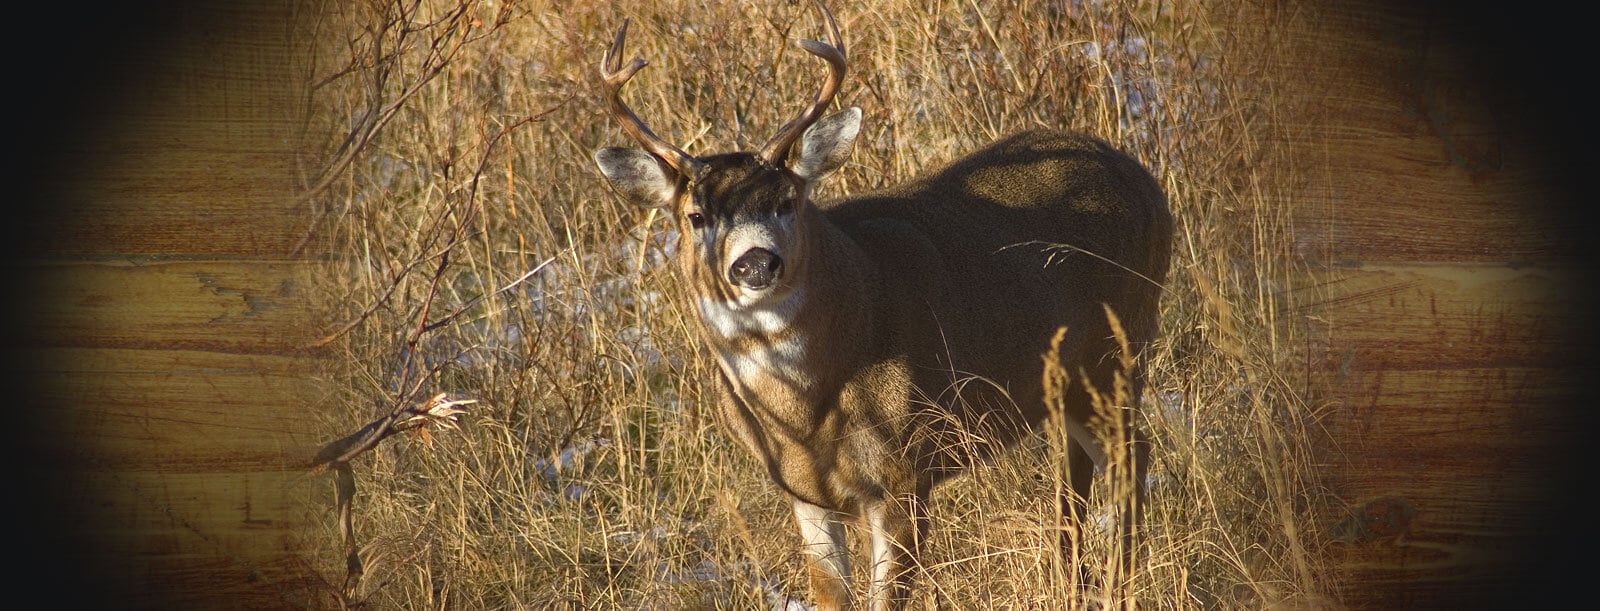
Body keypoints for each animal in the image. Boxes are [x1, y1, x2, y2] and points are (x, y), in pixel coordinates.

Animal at [595, 2, 1171, 607]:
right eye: (696, 216)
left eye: (786, 201)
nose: (754, 264)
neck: (807, 415)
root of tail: (1144, 179)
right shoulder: (804, 493)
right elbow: (830, 593)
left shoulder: (906, 470)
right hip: (1066, 382)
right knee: (1077, 467)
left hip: (1117, 351)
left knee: (1132, 461)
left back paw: (1120, 586)